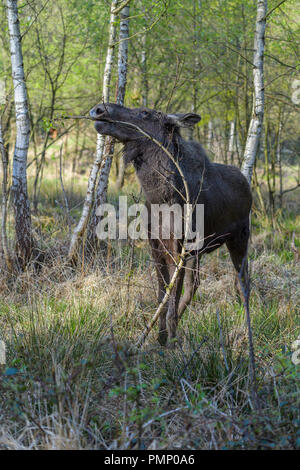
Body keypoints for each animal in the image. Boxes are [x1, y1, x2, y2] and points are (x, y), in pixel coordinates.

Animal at [90, 103, 252, 346]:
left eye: (145, 113)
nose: (99, 109)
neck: (160, 197)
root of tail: (247, 182)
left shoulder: (179, 248)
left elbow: (172, 298)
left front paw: (172, 340)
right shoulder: (156, 246)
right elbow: (162, 297)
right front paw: (161, 338)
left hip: (239, 238)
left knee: (242, 282)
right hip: (199, 251)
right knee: (196, 285)